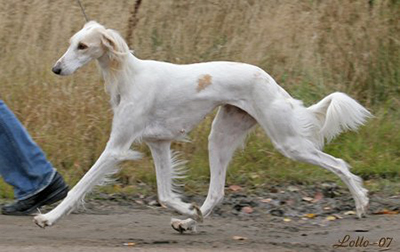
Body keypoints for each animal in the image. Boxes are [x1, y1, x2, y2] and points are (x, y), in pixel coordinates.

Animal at [33, 21, 372, 232]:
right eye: (70, 44)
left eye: (82, 46)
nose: (55, 69)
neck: (128, 76)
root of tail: (270, 80)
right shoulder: (159, 144)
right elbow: (165, 196)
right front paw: (187, 211)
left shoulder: (116, 148)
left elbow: (80, 186)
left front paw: (49, 217)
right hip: (221, 136)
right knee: (218, 193)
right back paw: (189, 223)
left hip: (288, 142)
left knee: (338, 163)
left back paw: (360, 203)